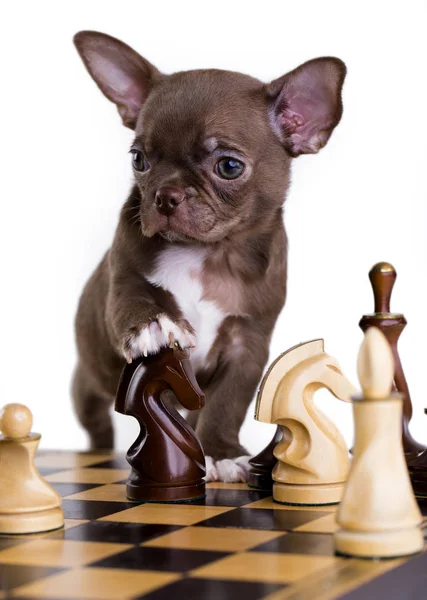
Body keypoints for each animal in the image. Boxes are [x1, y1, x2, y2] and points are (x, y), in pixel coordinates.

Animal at [72, 31, 348, 482]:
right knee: (95, 421)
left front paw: (220, 452)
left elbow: (225, 405)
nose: (165, 195)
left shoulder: (247, 347)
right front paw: (154, 325)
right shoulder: (124, 283)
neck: (206, 254)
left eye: (229, 166)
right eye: (139, 160)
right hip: (87, 384)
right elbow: (135, 304)